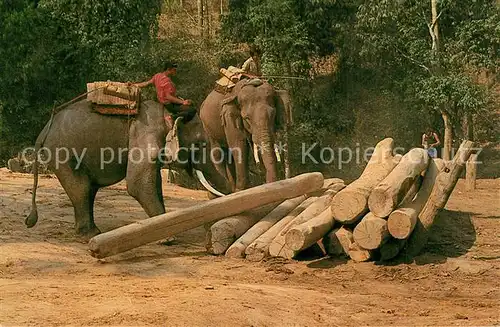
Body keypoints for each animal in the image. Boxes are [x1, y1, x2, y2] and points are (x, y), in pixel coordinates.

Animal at [24, 97, 231, 238]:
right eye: (200, 144)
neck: (170, 113)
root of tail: (43, 132)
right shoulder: (144, 136)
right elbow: (137, 185)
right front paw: (168, 238)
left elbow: (154, 183)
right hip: (62, 152)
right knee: (81, 188)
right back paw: (90, 234)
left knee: (89, 189)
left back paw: (92, 232)